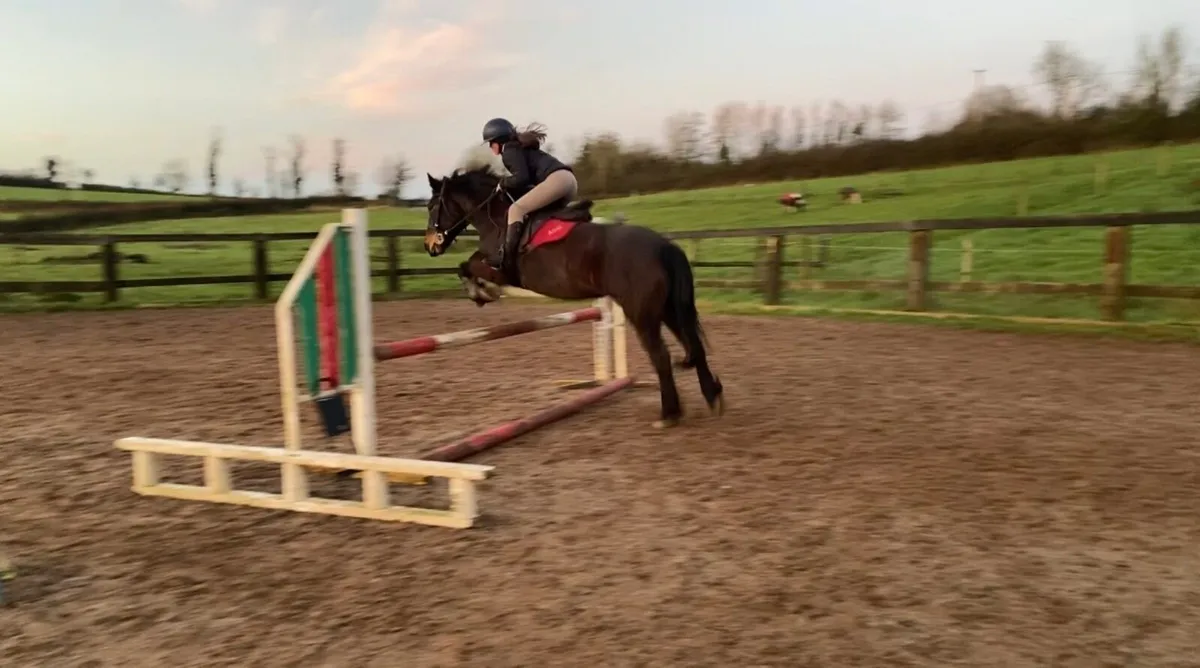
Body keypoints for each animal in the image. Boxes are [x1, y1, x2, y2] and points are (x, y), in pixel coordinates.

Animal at [422, 146, 724, 428]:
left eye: (431, 205)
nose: (430, 246)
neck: (495, 217)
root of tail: (664, 246)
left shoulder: (500, 268)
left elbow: (467, 266)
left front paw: (481, 292)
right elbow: (469, 262)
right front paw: (482, 291)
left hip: (642, 314)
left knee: (661, 356)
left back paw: (669, 414)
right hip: (669, 309)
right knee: (695, 346)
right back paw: (713, 397)